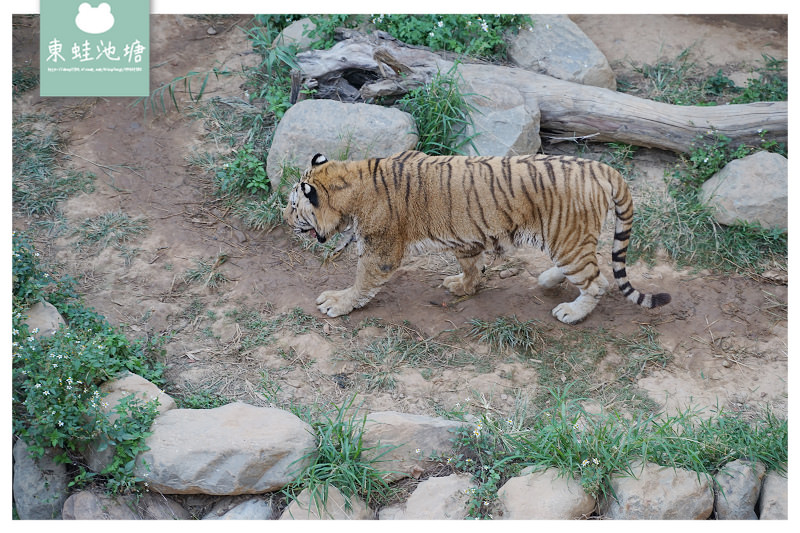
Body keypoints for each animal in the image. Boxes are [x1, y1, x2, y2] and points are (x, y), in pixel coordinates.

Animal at [282, 151, 668, 324]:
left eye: (292, 204)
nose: (282, 217)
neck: (350, 181)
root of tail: (601, 167)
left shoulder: (381, 252)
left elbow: (360, 284)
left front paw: (336, 303)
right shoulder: (465, 237)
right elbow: (471, 265)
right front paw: (463, 286)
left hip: (567, 238)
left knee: (597, 281)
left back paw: (571, 312)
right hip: (564, 240)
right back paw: (547, 280)